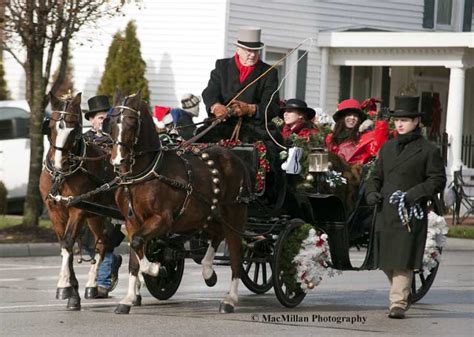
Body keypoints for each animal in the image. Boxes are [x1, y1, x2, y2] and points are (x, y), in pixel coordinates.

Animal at [38, 92, 117, 310]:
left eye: (74, 129)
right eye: (52, 126)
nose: (60, 163)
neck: (61, 176)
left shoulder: (77, 210)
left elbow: (67, 242)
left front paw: (63, 285)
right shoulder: (55, 211)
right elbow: (66, 247)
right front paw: (72, 293)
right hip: (95, 216)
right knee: (102, 242)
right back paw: (92, 285)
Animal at [109, 91, 250, 312]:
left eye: (132, 122)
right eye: (112, 122)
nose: (117, 160)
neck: (145, 174)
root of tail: (235, 157)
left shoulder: (163, 219)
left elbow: (139, 242)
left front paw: (155, 269)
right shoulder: (131, 221)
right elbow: (134, 252)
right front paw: (129, 298)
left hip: (234, 214)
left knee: (236, 251)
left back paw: (230, 299)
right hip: (207, 214)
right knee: (217, 234)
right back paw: (208, 272)